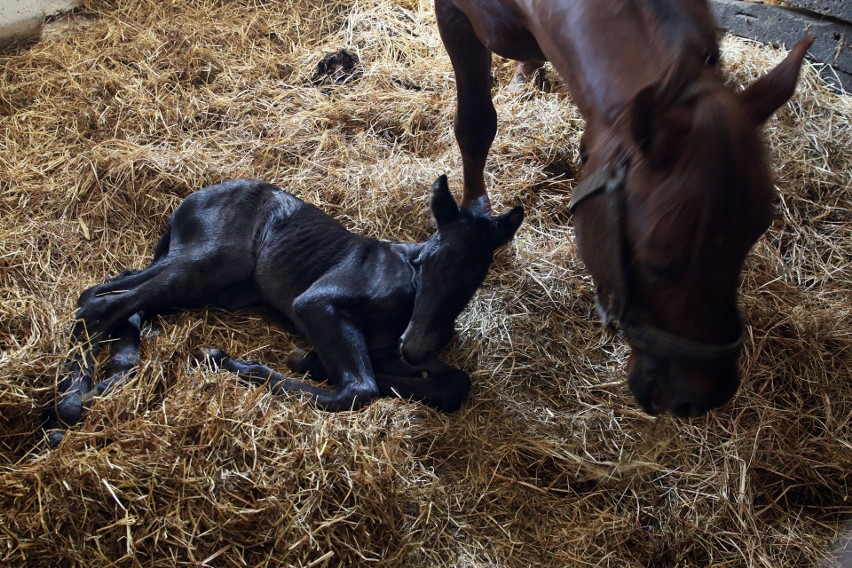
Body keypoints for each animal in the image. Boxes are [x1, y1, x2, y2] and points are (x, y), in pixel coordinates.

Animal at [436, 1, 816, 418]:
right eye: (657, 260)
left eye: (756, 232)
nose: (705, 396)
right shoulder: (453, 17)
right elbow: (475, 125)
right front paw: (474, 218)